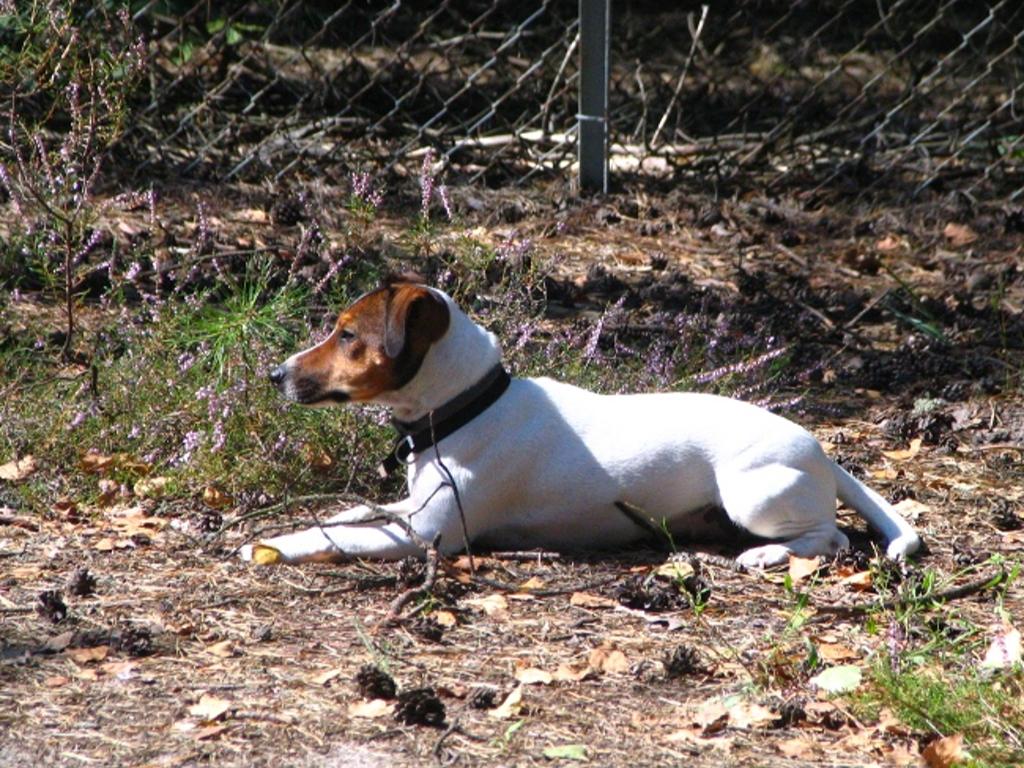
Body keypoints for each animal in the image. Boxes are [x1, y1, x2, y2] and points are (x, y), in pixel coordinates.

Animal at [239, 280, 921, 569]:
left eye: (347, 335)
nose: (274, 374)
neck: (469, 404)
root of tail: (823, 453)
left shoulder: (425, 536)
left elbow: (336, 536)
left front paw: (268, 545)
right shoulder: (410, 510)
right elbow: (351, 514)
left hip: (752, 494)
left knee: (833, 539)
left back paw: (769, 555)